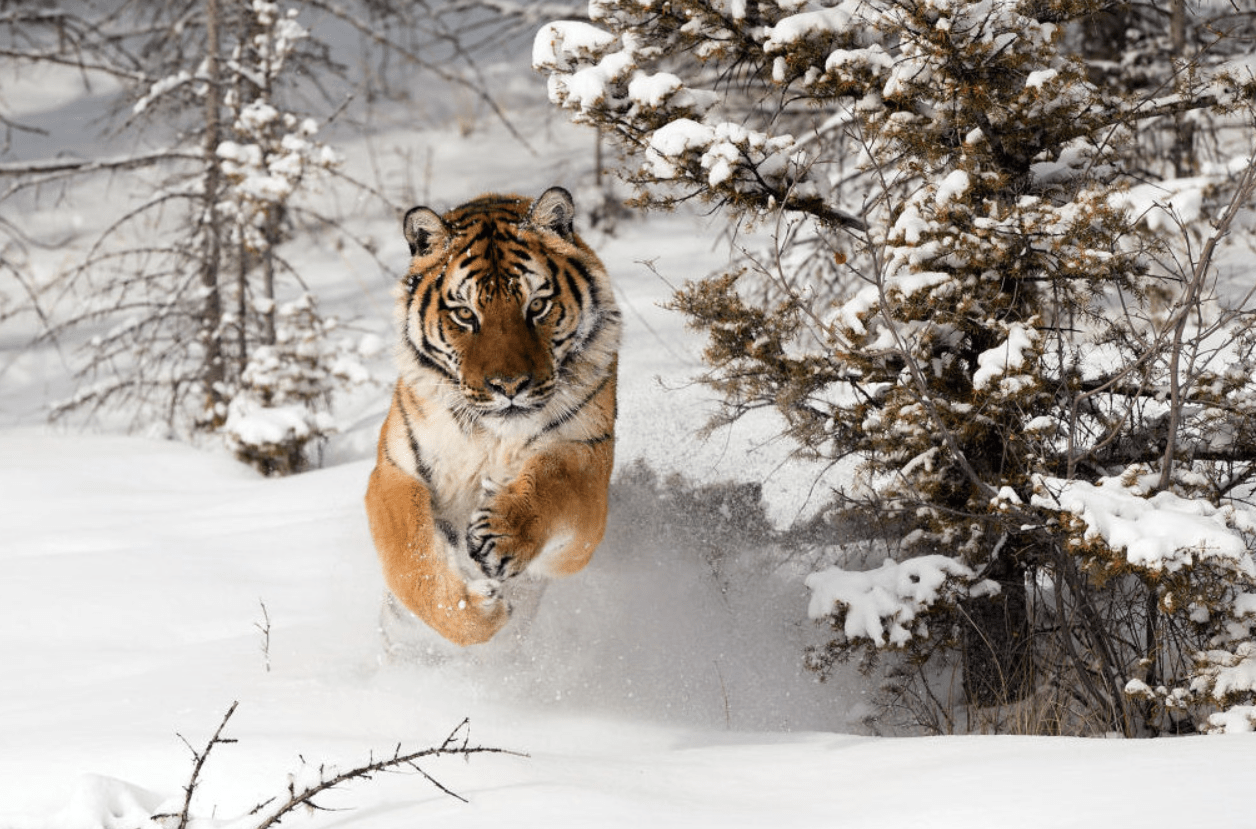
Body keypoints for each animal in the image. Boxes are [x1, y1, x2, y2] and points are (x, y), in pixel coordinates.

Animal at [361, 188, 620, 648]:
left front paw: (501, 533)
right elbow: (410, 558)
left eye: (537, 305)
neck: (492, 436)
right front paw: (474, 609)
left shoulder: (587, 460)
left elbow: (557, 482)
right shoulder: (395, 470)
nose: (509, 385)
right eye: (465, 314)